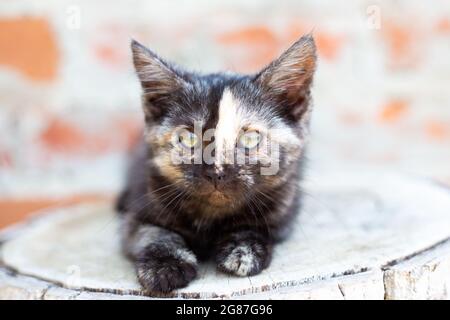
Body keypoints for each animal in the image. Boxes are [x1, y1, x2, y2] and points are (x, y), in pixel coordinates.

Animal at [116, 34, 316, 292]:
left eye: (250, 139)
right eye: (188, 138)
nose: (216, 172)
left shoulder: (284, 207)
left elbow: (256, 227)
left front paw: (243, 251)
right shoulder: (141, 204)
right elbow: (152, 233)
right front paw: (164, 265)